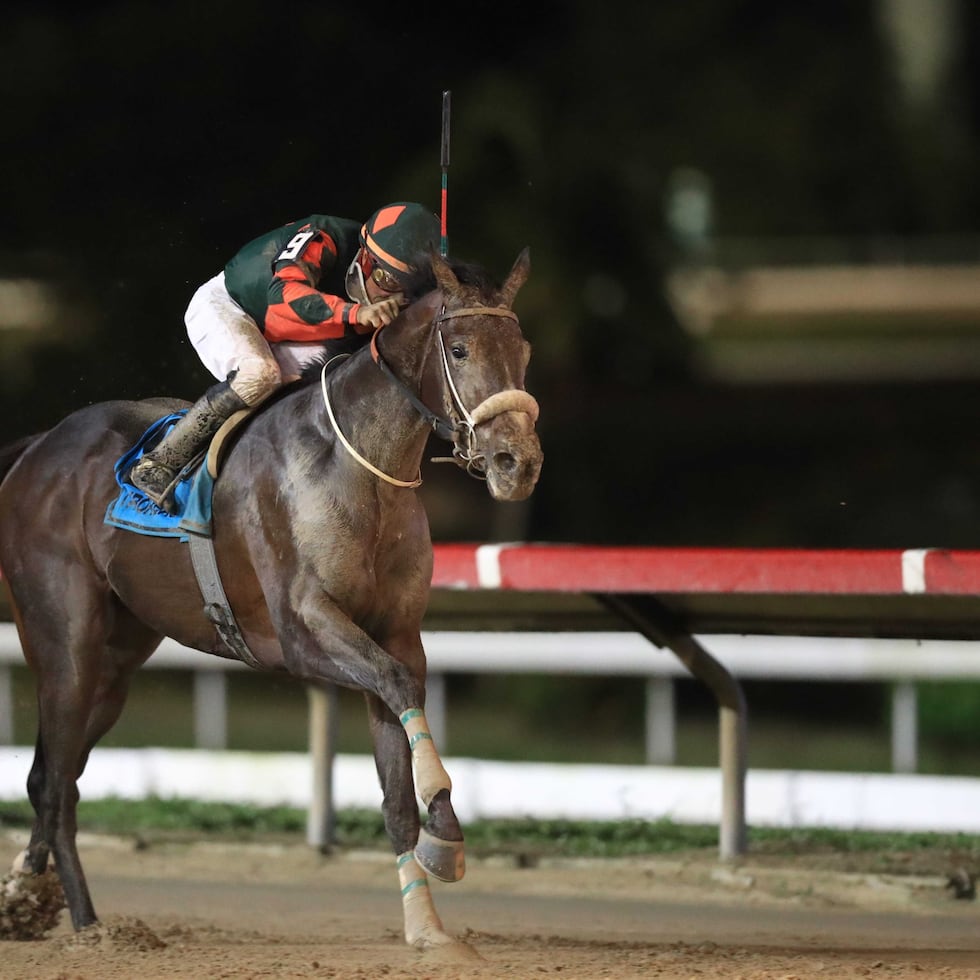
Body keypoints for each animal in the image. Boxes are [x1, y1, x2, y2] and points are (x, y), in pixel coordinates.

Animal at [0, 245, 544, 948]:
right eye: (458, 348)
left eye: (522, 349)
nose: (517, 464)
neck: (359, 465)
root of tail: (37, 447)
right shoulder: (300, 631)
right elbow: (399, 686)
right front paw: (445, 830)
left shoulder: (393, 633)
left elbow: (398, 780)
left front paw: (426, 925)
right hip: (65, 640)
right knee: (51, 780)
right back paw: (79, 922)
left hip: (117, 660)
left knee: (58, 777)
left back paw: (47, 902)